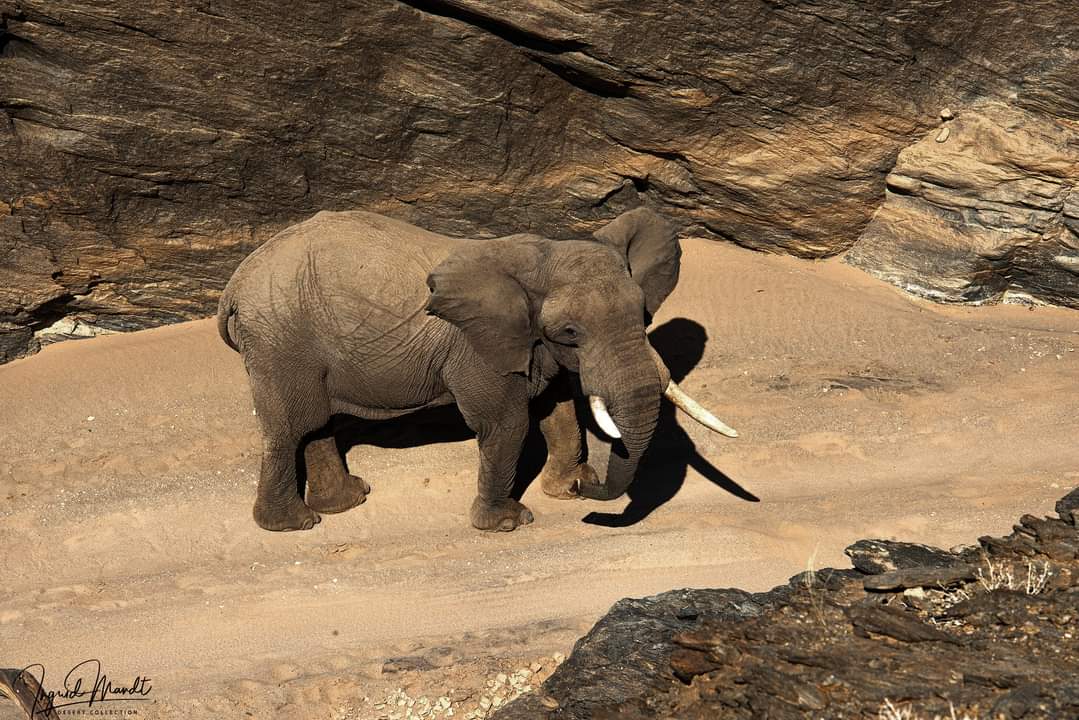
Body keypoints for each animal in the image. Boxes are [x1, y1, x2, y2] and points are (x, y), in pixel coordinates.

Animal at [214, 205, 738, 533]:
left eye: (644, 315)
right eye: (570, 331)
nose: (590, 488)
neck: (539, 256)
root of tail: (235, 284)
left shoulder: (528, 341)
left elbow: (558, 409)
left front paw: (565, 491)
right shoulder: (475, 346)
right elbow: (507, 421)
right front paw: (509, 524)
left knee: (315, 423)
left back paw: (348, 501)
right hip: (280, 340)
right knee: (291, 427)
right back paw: (296, 525)